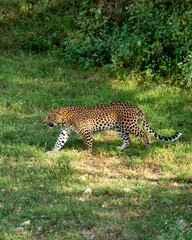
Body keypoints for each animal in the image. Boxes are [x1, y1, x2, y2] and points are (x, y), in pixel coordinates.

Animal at [44, 101, 182, 154]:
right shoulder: (64, 132)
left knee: (143, 132)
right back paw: (121, 148)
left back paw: (147, 146)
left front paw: (87, 152)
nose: (44, 121)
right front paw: (52, 151)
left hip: (129, 125)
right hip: (120, 128)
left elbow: (88, 143)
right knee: (127, 140)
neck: (65, 120)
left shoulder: (85, 131)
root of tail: (134, 106)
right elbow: (59, 142)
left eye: (49, 116)